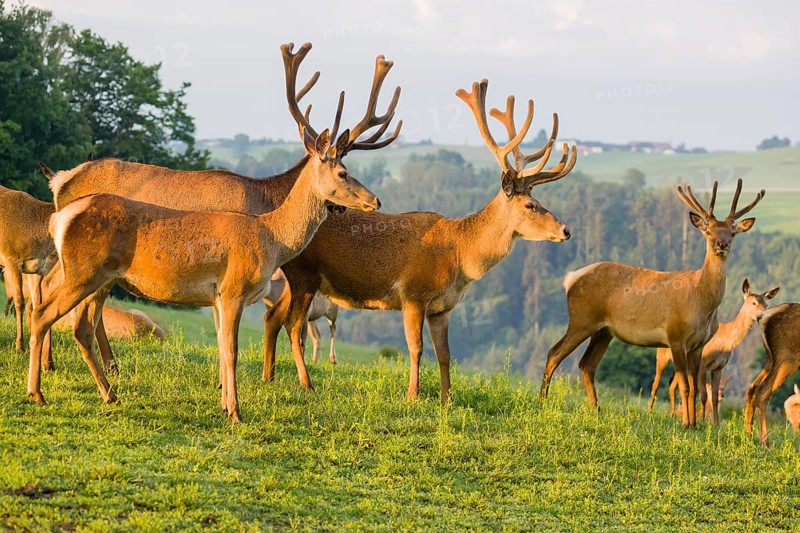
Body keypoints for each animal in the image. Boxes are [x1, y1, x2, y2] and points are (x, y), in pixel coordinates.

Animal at [41, 42, 401, 386]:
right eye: (343, 171)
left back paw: (98, 366)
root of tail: (59, 181)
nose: (375, 200)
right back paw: (58, 362)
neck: (265, 204)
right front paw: (225, 385)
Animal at [264, 79, 576, 404]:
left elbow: (445, 355)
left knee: (273, 317)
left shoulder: (442, 308)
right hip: (305, 274)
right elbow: (416, 349)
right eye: (531, 205)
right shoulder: (413, 294)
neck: (459, 257)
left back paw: (268, 377)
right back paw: (306, 383)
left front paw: (447, 399)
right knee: (293, 324)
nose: (565, 230)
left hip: (294, 280)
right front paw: (413, 394)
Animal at [540, 179, 765, 427]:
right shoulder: (675, 335)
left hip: (604, 330)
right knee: (554, 353)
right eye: (707, 231)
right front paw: (686, 424)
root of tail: (570, 278)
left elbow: (696, 388)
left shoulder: (699, 344)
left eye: (733, 232)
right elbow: (685, 386)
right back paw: (542, 403)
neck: (701, 304)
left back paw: (596, 410)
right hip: (581, 319)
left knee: (586, 365)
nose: (721, 244)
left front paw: (695, 424)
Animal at [648, 279, 779, 424]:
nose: (765, 313)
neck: (724, 341)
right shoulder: (703, 363)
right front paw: (703, 420)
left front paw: (716, 424)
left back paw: (673, 414)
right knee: (655, 383)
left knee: (672, 387)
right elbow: (704, 395)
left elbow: (715, 396)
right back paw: (650, 412)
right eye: (753, 302)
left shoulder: (719, 367)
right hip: (661, 356)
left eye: (766, 303)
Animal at [745, 303, 800, 445]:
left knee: (752, 388)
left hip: (770, 358)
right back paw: (765, 442)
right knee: (763, 391)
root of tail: (763, 315)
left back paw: (748, 438)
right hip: (786, 357)